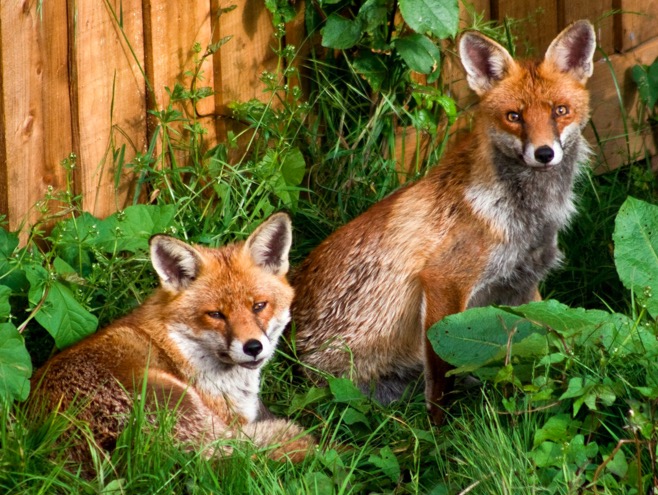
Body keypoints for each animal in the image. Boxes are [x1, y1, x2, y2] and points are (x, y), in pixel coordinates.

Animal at [290, 21, 596, 423]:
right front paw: (439, 429)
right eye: (514, 116)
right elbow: (440, 371)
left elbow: (544, 337)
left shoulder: (522, 283)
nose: (544, 153)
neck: (524, 216)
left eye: (561, 110)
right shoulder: (444, 280)